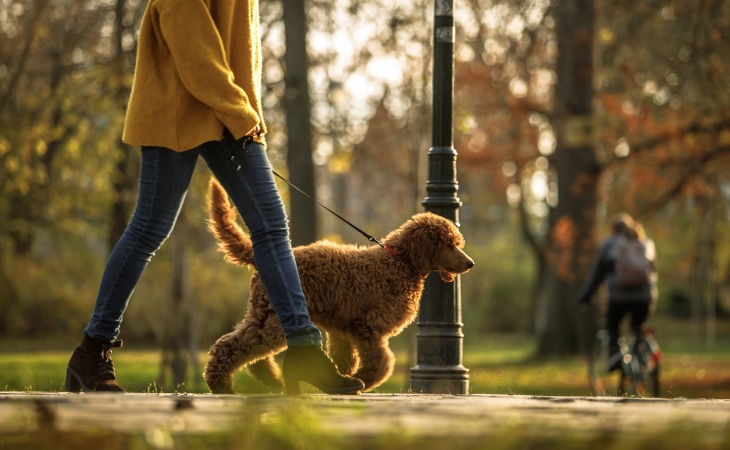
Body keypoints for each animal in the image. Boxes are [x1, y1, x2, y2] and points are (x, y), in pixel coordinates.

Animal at [202, 179, 474, 394]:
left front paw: (342, 379)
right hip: (274, 317)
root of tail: (257, 255)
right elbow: (382, 363)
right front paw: (363, 379)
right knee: (234, 345)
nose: (470, 263)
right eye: (449, 244)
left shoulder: (344, 329)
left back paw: (269, 378)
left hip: (265, 313)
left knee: (248, 345)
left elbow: (345, 359)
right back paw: (221, 384)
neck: (399, 262)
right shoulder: (367, 326)